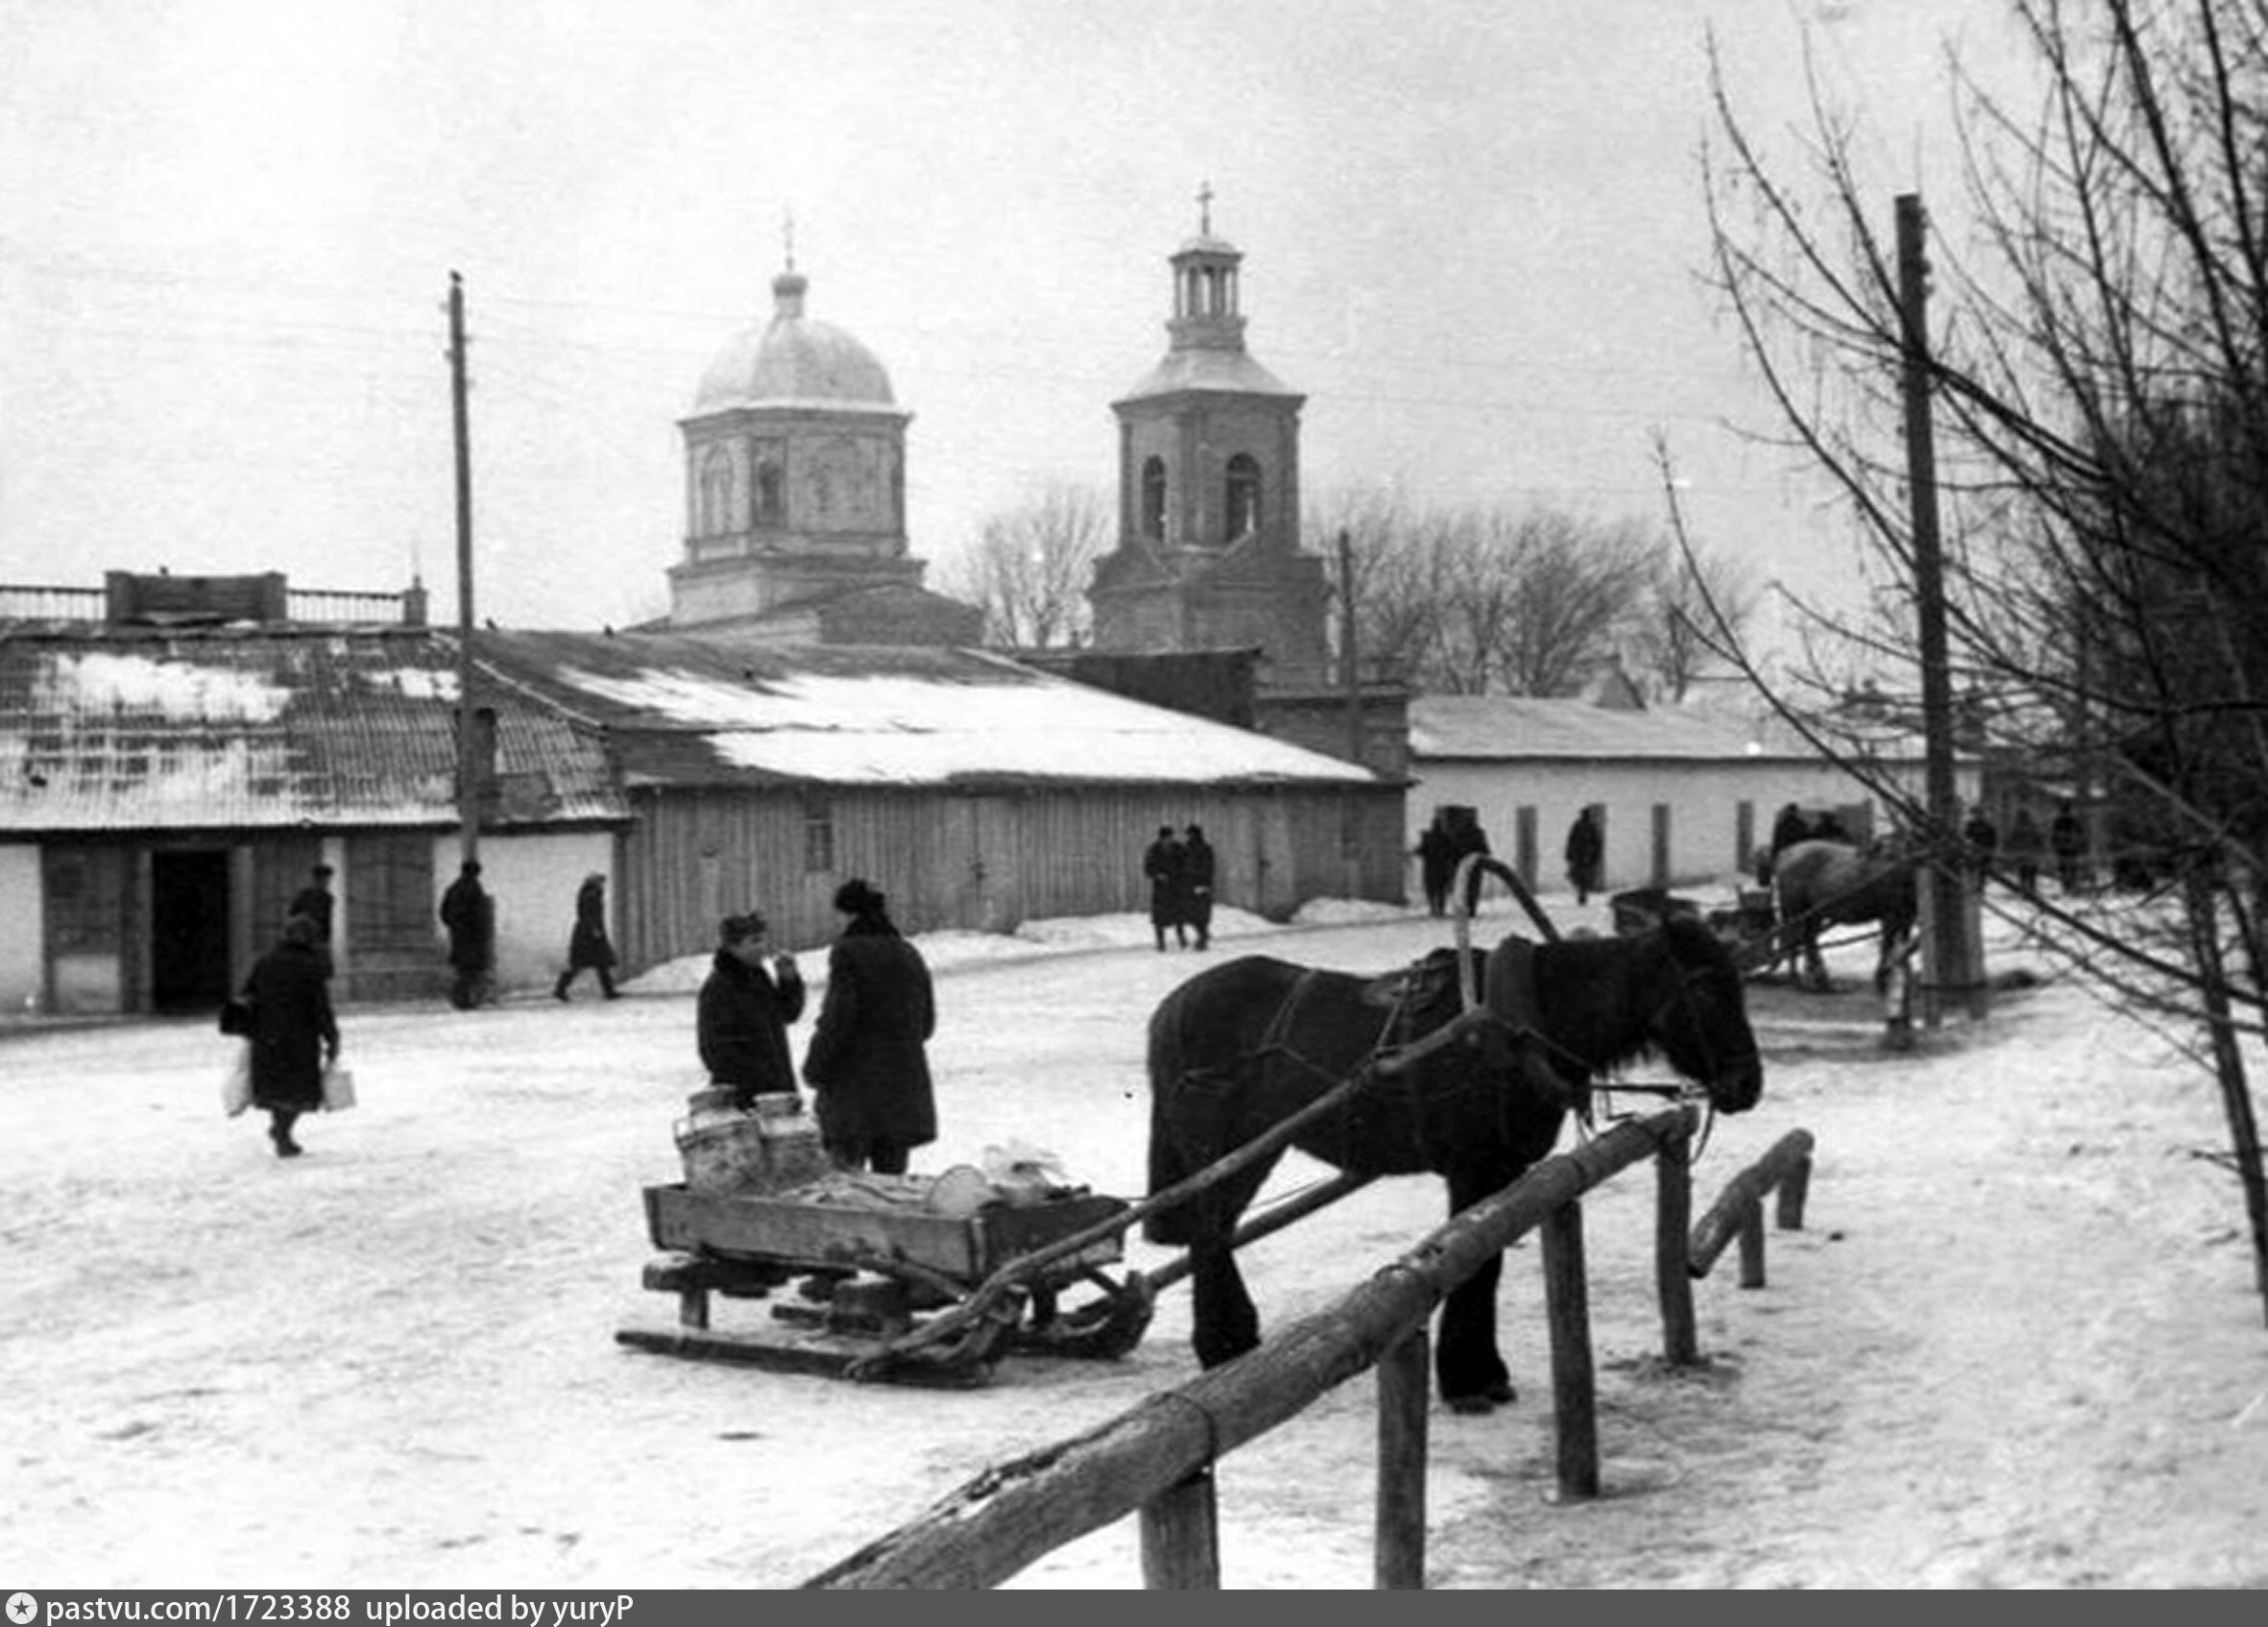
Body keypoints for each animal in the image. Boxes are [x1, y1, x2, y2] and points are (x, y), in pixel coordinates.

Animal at [1143, 911, 1759, 1406]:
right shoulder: (1472, 1168)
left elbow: (1488, 1261)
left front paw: (1480, 1372)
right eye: (1707, 992)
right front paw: (1467, 1379)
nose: (1748, 1084)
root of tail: (1172, 1006)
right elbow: (1475, 1265)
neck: (1519, 1025)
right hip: (1222, 1149)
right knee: (1209, 1233)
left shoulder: (1504, 1171)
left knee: (1217, 1231)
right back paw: (1223, 1343)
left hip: (1255, 1150)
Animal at [1759, 839, 1922, 989]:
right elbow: (1887, 946)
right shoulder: (1890, 915)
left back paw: (1819, 979)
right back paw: (1797, 979)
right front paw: (1882, 979)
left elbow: (1904, 946)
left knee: (1808, 938)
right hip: (1795, 908)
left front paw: (1904, 977)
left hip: (1814, 912)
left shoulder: (1907, 917)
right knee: (1792, 938)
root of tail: (1783, 854)